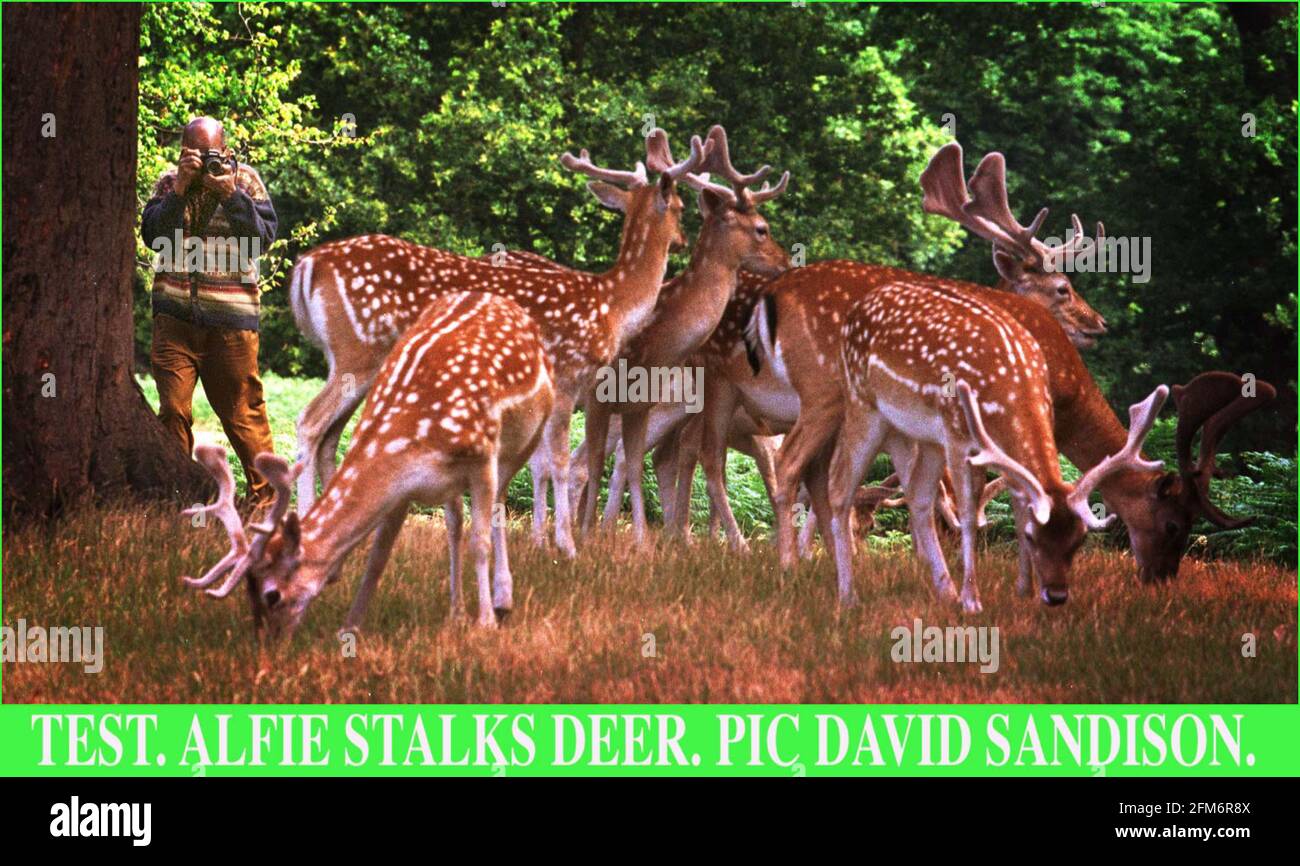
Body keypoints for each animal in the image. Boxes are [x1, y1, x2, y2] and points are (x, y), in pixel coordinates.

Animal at [180, 291, 551, 634]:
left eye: (273, 595)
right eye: (250, 593)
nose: (268, 639)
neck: (412, 434)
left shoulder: (482, 457)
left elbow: (481, 541)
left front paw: (485, 623)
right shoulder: (404, 489)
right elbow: (378, 557)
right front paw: (350, 628)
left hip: (524, 439)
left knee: (499, 506)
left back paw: (502, 602)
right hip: (450, 485)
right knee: (454, 524)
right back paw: (456, 612)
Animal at [289, 130, 712, 556]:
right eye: (680, 207)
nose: (682, 240)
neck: (611, 303)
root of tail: (307, 266)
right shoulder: (567, 374)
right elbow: (559, 461)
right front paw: (566, 545)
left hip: (354, 360)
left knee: (332, 435)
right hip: (358, 349)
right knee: (310, 421)